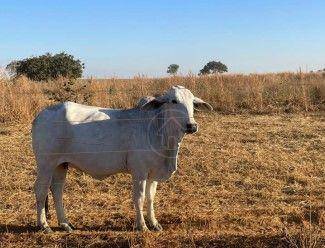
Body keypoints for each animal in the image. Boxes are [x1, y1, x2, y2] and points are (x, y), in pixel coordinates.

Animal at [31, 85, 211, 232]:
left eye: (192, 103)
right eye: (174, 101)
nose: (192, 126)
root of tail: (40, 115)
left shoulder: (153, 174)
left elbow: (150, 198)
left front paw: (154, 223)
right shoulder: (139, 172)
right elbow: (139, 198)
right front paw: (142, 226)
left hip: (61, 164)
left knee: (57, 190)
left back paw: (65, 223)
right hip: (46, 164)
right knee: (41, 190)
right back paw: (44, 225)